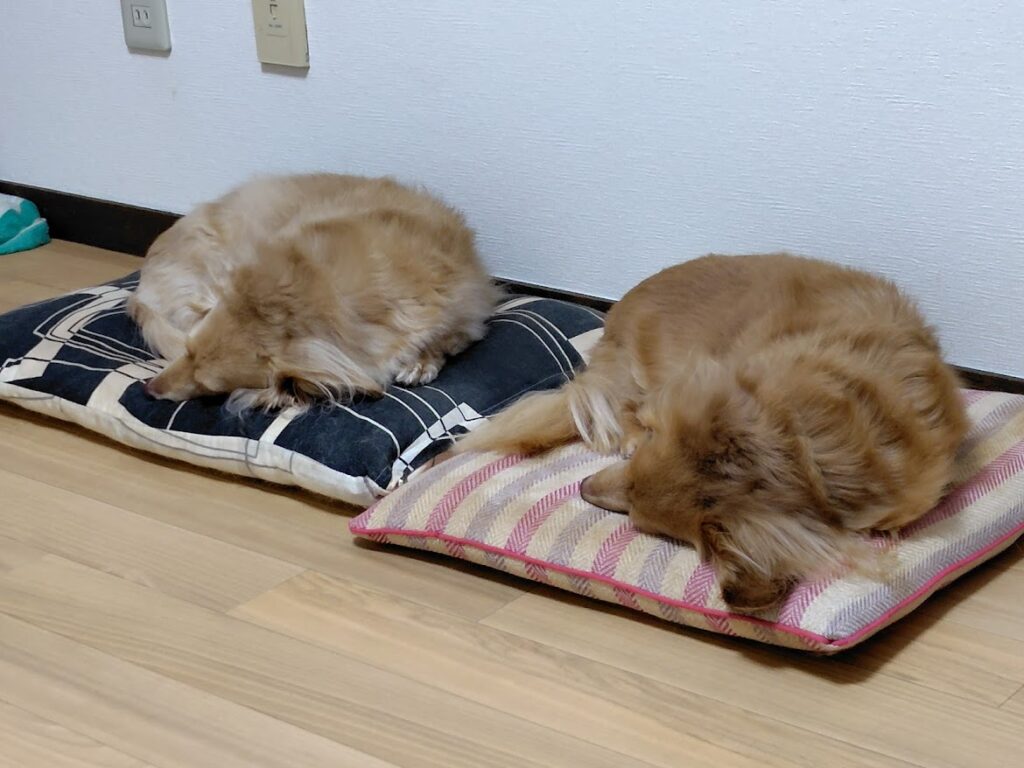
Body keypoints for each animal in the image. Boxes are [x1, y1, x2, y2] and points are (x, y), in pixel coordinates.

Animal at [128, 174, 499, 409]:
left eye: (210, 385)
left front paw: (423, 361)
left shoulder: (469, 310)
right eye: (186, 351)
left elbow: (450, 337)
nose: (148, 390)